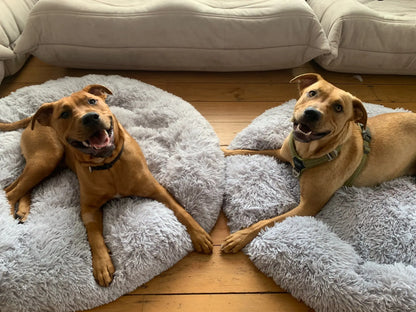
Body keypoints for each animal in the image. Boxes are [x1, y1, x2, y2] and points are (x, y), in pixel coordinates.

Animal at [0, 85, 211, 286]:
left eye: (92, 101)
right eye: (65, 114)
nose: (90, 117)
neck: (109, 166)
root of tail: (33, 119)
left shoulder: (157, 190)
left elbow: (180, 211)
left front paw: (199, 234)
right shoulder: (88, 209)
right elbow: (94, 236)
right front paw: (102, 265)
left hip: (48, 163)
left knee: (20, 185)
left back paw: (23, 210)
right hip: (47, 158)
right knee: (10, 191)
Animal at [221, 73, 416, 254]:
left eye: (338, 107)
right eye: (312, 93)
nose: (312, 113)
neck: (308, 152)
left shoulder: (307, 206)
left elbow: (265, 222)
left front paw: (241, 236)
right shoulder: (281, 153)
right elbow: (246, 150)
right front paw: (223, 152)